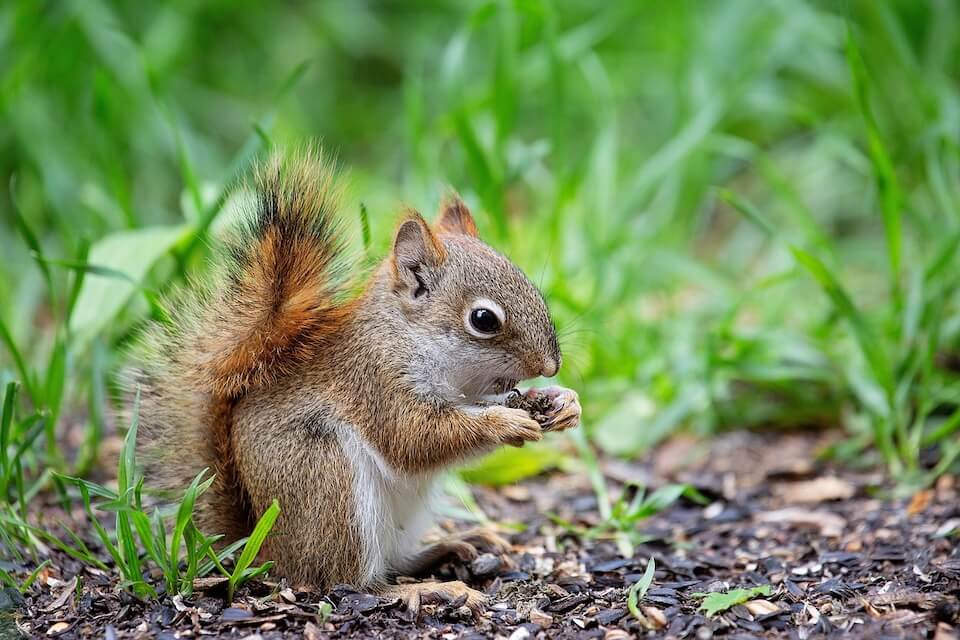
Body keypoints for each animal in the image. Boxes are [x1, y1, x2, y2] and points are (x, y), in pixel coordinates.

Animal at [135, 151, 581, 610]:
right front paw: (506, 422)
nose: (550, 365)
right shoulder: (375, 380)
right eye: (483, 319)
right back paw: (430, 586)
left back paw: (455, 545)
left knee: (394, 560)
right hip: (330, 481)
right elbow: (414, 437)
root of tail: (265, 548)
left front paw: (562, 401)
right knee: (350, 581)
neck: (410, 336)